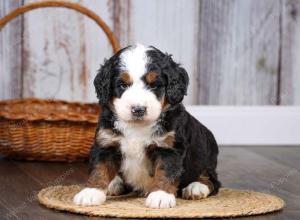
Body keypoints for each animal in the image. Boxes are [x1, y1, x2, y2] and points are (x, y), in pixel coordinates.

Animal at [74, 44, 221, 208]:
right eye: (122, 85)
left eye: (154, 85)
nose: (138, 109)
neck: (137, 127)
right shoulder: (106, 143)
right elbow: (99, 169)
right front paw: (91, 192)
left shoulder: (169, 148)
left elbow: (165, 172)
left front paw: (161, 196)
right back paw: (115, 183)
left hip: (206, 159)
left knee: (212, 181)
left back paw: (196, 187)